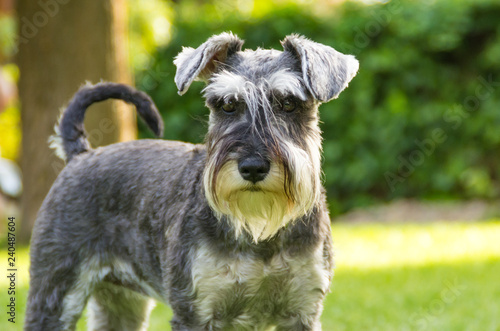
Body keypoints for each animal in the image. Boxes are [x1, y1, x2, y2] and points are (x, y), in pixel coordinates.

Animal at [24, 31, 360, 331]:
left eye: (288, 103)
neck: (260, 234)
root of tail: (80, 154)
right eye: (227, 104)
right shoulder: (194, 312)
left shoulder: (302, 311)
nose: (252, 167)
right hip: (53, 293)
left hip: (120, 302)